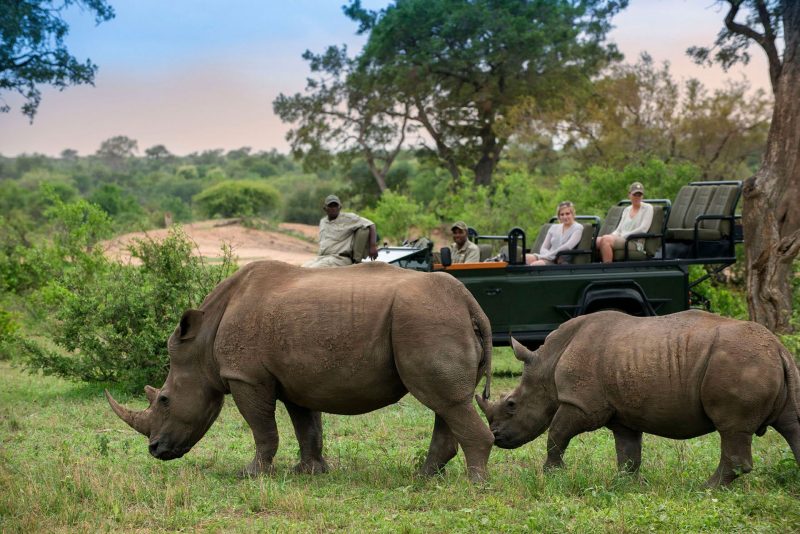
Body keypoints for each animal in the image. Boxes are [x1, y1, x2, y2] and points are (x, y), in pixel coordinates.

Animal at [106, 260, 494, 481]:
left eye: (165, 400)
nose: (155, 450)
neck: (201, 346)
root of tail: (470, 304)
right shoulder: (296, 378)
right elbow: (306, 427)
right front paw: (309, 472)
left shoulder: (245, 377)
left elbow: (263, 429)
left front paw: (250, 475)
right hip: (436, 318)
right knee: (448, 403)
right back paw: (424, 477)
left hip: (426, 319)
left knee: (447, 401)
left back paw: (473, 483)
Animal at [475, 310, 800, 486]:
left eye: (511, 405)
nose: (496, 437)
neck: (547, 364)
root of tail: (779, 348)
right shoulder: (622, 414)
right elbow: (628, 452)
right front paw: (626, 484)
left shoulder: (582, 404)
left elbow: (556, 435)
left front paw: (552, 474)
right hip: (765, 363)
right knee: (790, 424)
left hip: (741, 362)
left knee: (731, 429)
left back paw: (705, 488)